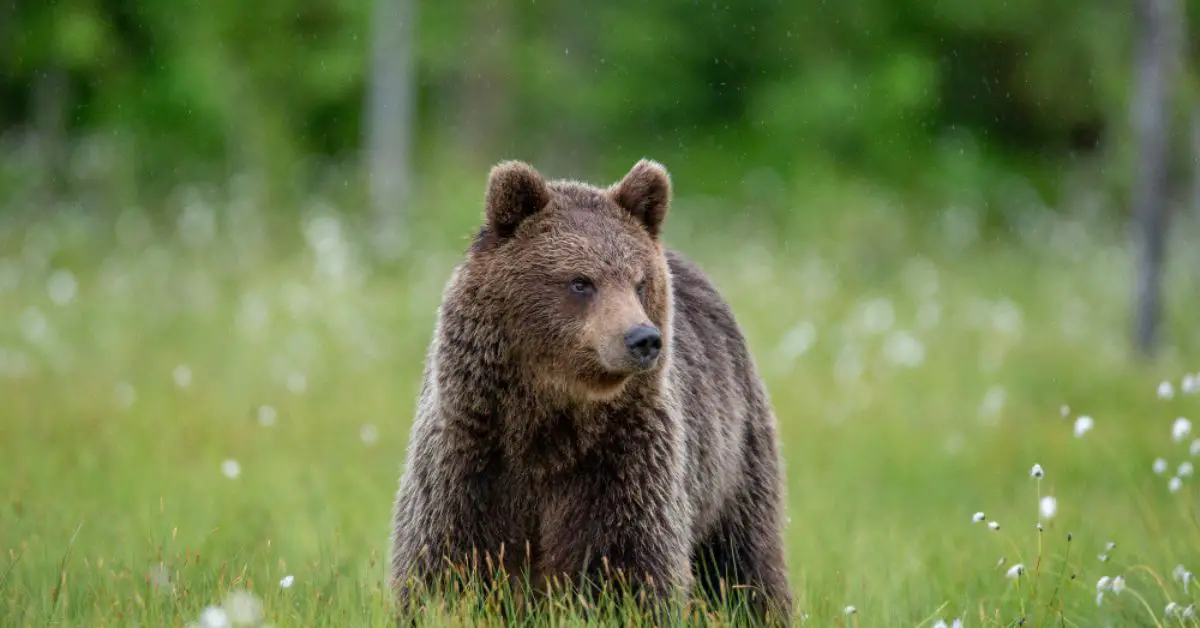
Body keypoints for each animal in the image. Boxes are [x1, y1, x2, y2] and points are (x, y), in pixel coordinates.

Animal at [388, 158, 792, 624]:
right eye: (581, 281)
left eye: (639, 282)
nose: (643, 339)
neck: (548, 419)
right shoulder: (470, 450)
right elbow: (447, 558)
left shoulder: (622, 460)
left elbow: (628, 563)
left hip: (733, 455)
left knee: (743, 558)